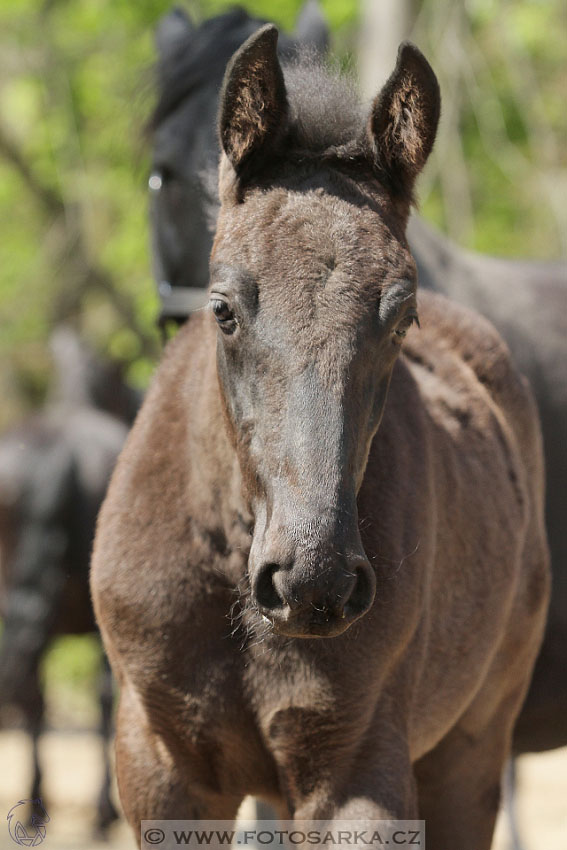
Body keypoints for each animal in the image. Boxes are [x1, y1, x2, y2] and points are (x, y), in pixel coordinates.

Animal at [92, 21, 552, 848]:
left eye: (401, 316)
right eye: (223, 309)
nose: (313, 582)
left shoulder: (355, 772)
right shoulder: (158, 769)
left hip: (470, 749)